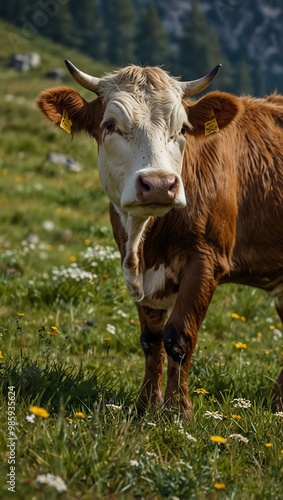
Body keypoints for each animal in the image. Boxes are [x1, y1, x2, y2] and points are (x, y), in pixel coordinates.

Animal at [37, 59, 283, 418]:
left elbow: (179, 337)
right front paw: (145, 404)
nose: (158, 184)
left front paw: (177, 410)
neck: (146, 241)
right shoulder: (138, 270)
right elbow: (151, 339)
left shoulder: (206, 259)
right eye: (110, 125)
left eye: (182, 129)